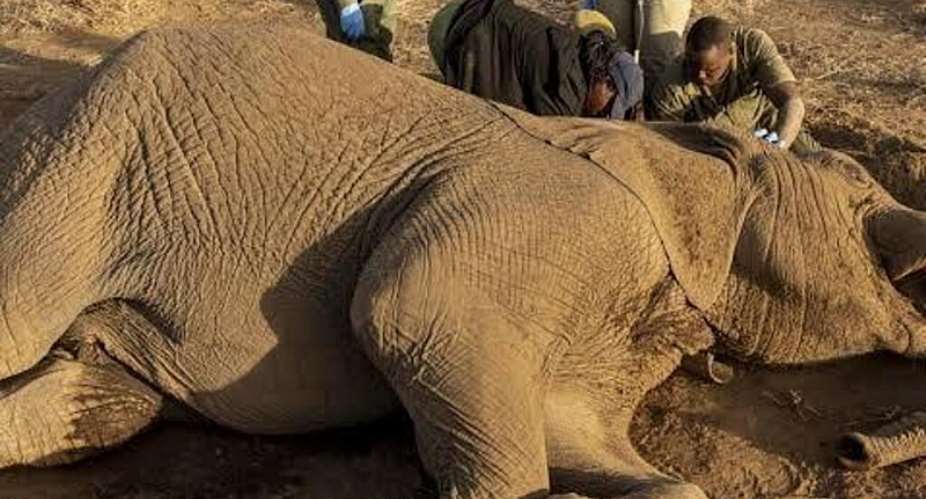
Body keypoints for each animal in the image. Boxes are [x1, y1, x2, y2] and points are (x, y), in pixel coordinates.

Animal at [0, 20, 924, 499]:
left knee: (101, 400)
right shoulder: (557, 216)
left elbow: (599, 443)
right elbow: (408, 314)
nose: (851, 445)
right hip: (78, 160)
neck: (678, 151)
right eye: (860, 201)